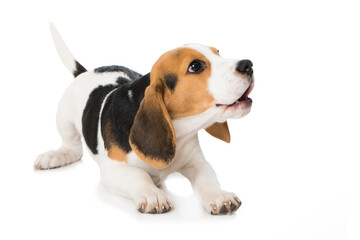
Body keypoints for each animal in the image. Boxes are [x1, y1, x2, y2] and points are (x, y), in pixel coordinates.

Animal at [33, 24, 253, 216]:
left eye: (219, 52)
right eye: (195, 66)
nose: (248, 65)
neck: (180, 131)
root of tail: (87, 72)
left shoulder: (196, 161)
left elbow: (208, 177)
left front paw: (219, 196)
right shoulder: (112, 169)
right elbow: (138, 174)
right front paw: (153, 195)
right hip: (64, 117)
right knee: (72, 147)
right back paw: (56, 156)